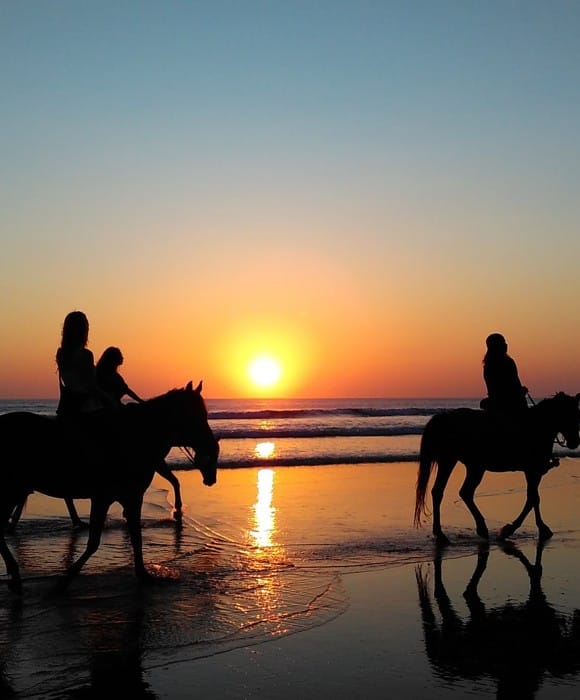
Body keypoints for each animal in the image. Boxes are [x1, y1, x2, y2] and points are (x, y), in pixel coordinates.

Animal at [0, 380, 219, 595]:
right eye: (195, 415)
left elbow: (135, 537)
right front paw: (65, 579)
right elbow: (95, 541)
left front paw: (143, 574)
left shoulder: (131, 497)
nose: (213, 447)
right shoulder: (105, 497)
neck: (136, 437)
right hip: (11, 491)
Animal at [414, 392, 580, 545]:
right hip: (460, 463)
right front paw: (512, 529)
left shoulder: (533, 472)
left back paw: (448, 532)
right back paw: (471, 529)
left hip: (463, 464)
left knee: (448, 492)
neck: (537, 426)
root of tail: (444, 418)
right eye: (569, 414)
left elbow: (533, 498)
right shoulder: (533, 471)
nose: (574, 442)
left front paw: (538, 528)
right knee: (456, 492)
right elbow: (533, 498)